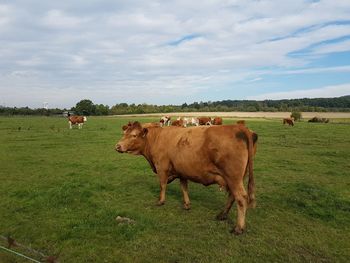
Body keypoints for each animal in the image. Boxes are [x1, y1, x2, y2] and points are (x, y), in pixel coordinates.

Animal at [116, 121, 258, 235]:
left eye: (134, 135)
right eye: (124, 133)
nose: (117, 146)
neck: (156, 138)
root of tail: (240, 127)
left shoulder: (161, 167)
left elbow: (162, 185)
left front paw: (161, 201)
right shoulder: (182, 170)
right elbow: (184, 187)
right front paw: (187, 204)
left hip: (233, 177)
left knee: (241, 198)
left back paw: (238, 228)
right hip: (236, 178)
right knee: (232, 196)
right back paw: (222, 215)